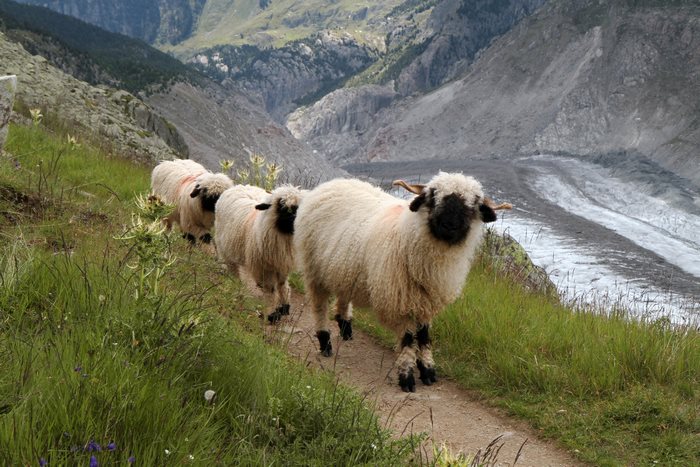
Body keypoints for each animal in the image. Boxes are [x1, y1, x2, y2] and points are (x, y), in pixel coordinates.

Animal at [214, 184, 305, 323]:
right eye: (282, 207)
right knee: (232, 268)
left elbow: (282, 285)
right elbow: (270, 289)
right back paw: (235, 286)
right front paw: (272, 313)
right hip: (224, 246)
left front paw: (284, 307)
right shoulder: (263, 268)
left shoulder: (282, 264)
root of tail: (236, 186)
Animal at [294, 172, 512, 392]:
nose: (449, 225)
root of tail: (330, 184)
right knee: (319, 307)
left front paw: (428, 370)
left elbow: (424, 337)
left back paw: (346, 327)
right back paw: (325, 342)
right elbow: (407, 340)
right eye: (433, 196)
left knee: (343, 295)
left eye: (473, 204)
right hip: (314, 270)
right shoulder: (399, 301)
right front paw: (406, 376)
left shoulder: (426, 302)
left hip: (344, 269)